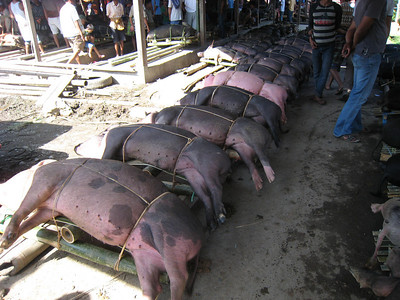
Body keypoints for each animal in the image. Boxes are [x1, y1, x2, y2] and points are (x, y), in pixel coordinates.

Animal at [0, 158, 205, 298]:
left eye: (15, 176)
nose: (3, 182)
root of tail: (199, 236)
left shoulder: (45, 180)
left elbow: (23, 207)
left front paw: (4, 240)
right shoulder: (49, 209)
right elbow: (30, 221)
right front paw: (6, 243)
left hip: (167, 236)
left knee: (180, 276)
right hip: (143, 254)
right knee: (153, 287)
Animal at [75, 124, 231, 230]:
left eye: (89, 138)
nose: (77, 145)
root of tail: (227, 163)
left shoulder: (114, 138)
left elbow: (105, 154)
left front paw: (101, 159)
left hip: (207, 165)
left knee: (215, 187)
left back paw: (222, 218)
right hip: (193, 174)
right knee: (205, 196)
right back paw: (212, 225)